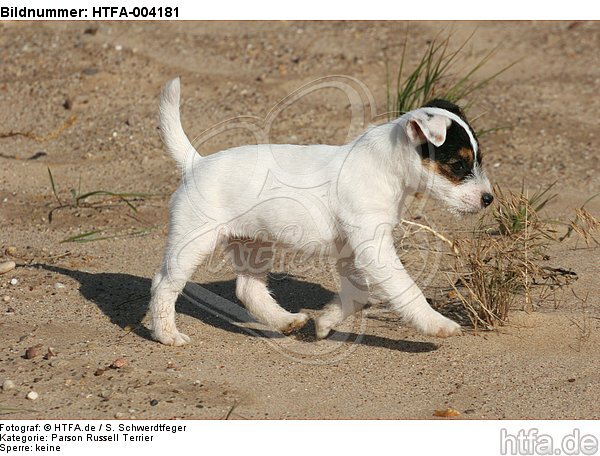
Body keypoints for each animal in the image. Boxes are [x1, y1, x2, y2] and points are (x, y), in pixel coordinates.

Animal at [149, 79, 492, 346]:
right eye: (457, 165)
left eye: (477, 160)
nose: (488, 198)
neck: (385, 168)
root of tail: (196, 162)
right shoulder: (374, 248)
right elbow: (406, 288)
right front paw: (437, 324)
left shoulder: (352, 251)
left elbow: (358, 294)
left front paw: (326, 322)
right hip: (192, 242)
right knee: (163, 283)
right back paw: (167, 334)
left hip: (252, 244)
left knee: (248, 289)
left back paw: (286, 321)